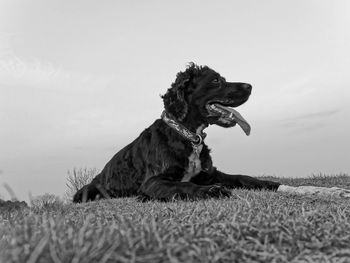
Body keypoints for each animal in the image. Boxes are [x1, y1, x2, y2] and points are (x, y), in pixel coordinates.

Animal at [72, 63, 280, 203]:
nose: (250, 86)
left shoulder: (209, 174)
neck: (188, 136)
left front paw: (271, 184)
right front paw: (210, 191)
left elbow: (242, 177)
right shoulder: (153, 181)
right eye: (215, 80)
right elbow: (183, 184)